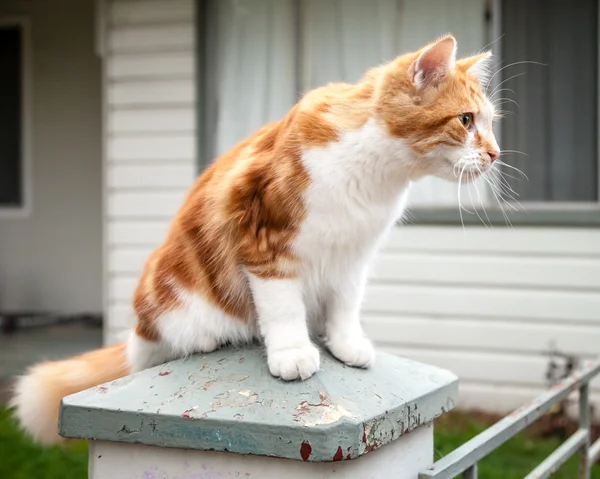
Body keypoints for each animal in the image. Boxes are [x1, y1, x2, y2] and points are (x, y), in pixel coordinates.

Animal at [11, 34, 500, 446]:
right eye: (465, 120)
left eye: (489, 124)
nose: (495, 154)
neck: (376, 174)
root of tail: (137, 329)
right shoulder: (267, 245)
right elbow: (283, 310)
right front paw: (293, 353)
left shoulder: (352, 257)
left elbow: (345, 307)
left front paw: (345, 344)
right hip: (168, 300)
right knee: (165, 342)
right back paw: (204, 339)